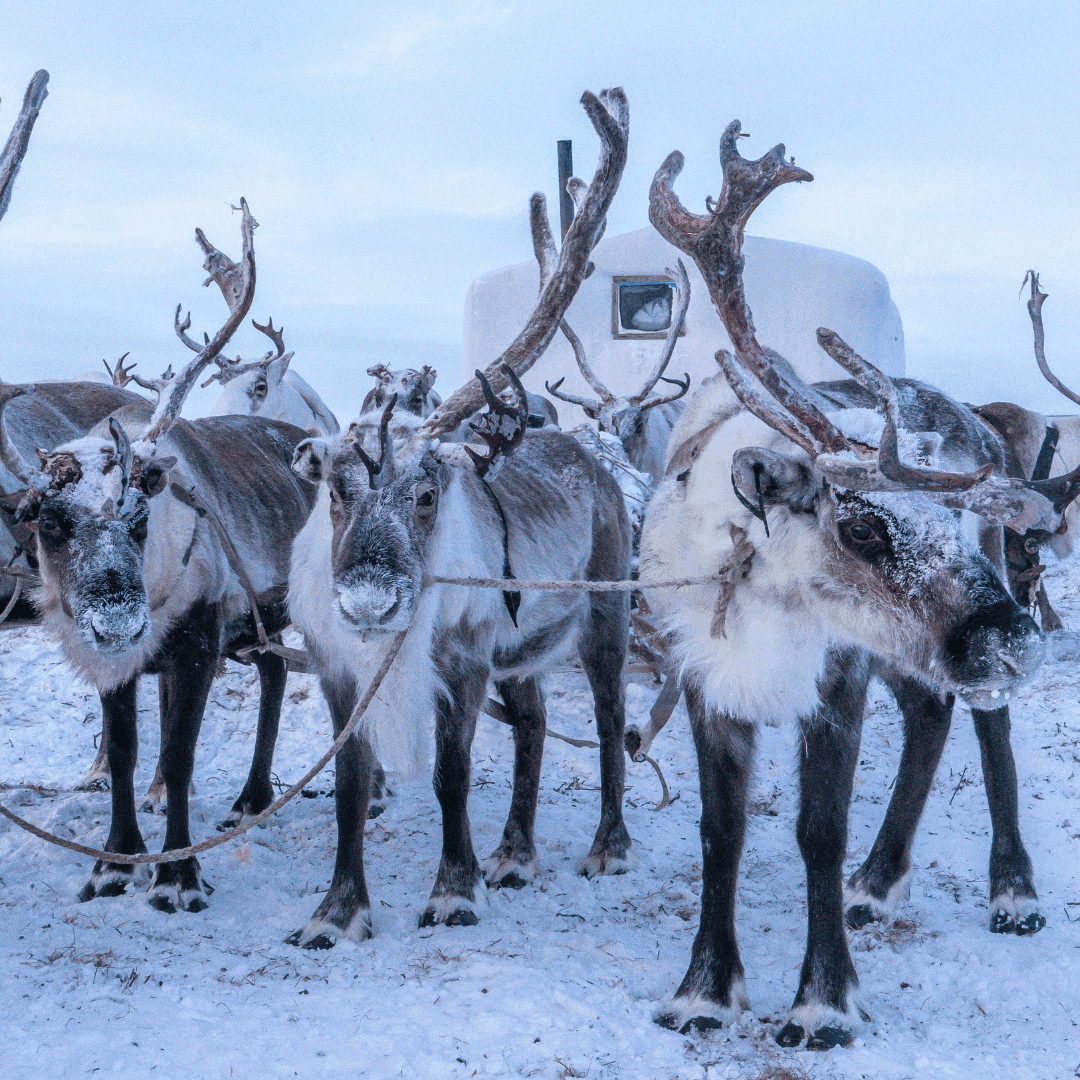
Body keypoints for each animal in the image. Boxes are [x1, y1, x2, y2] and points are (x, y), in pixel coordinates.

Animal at [0, 201, 327, 913]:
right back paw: (250, 799)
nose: (119, 621)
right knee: (275, 672)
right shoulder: (114, 660)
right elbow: (123, 750)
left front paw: (178, 874)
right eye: (48, 521)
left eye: (138, 516)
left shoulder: (198, 642)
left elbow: (178, 753)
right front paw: (116, 861)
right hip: (257, 623)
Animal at [283, 87, 630, 949]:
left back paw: (607, 846)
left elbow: (450, 774)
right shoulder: (336, 667)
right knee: (535, 721)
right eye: (335, 489)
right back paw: (514, 853)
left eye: (430, 492)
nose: (370, 602)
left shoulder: (466, 659)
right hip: (525, 646)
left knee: (610, 719)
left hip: (606, 615)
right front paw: (338, 911)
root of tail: (595, 465)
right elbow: (350, 782)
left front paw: (452, 891)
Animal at [638, 121, 1080, 1049]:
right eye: (863, 526)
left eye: (952, 521)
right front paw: (703, 992)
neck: (763, 596)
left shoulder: (836, 677)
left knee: (986, 728)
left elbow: (819, 831)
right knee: (931, 713)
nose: (1013, 639)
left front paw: (823, 1002)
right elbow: (720, 831)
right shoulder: (702, 676)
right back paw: (879, 882)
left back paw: (1011, 890)